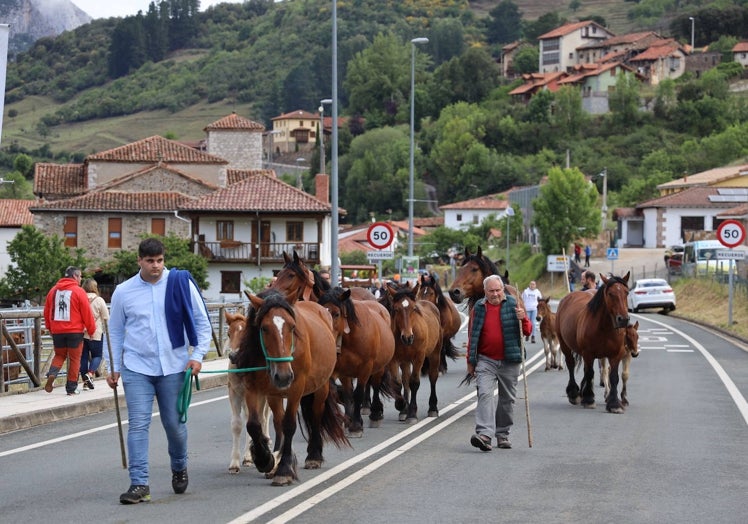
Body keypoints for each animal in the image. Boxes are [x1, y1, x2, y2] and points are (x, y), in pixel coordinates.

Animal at [224, 312, 274, 474]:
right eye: (228, 333)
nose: (233, 355)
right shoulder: (234, 392)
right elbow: (237, 424)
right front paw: (234, 463)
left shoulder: (257, 393)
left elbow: (258, 420)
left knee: (265, 416)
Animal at [235, 290, 350, 488]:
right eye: (264, 328)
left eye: (292, 326)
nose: (283, 376)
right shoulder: (254, 388)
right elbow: (254, 425)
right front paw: (265, 460)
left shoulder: (296, 388)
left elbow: (289, 425)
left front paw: (284, 470)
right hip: (274, 394)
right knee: (277, 421)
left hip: (321, 388)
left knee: (316, 415)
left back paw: (313, 456)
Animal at [318, 284, 398, 436]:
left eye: (336, 314)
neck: (350, 338)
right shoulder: (342, 370)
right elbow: (348, 395)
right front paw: (349, 421)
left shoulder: (365, 368)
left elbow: (358, 393)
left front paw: (356, 426)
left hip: (379, 367)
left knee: (375, 385)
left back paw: (375, 414)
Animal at [386, 282, 444, 422]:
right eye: (396, 309)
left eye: (413, 309)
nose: (407, 337)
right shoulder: (394, 359)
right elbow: (397, 382)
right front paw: (401, 405)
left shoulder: (419, 358)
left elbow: (414, 382)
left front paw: (412, 413)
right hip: (405, 361)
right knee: (405, 379)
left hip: (435, 354)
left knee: (432, 376)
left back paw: (433, 408)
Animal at [556, 274, 632, 414]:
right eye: (610, 294)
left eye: (627, 292)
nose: (623, 319)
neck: (604, 328)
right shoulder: (588, 354)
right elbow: (590, 373)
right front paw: (589, 399)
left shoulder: (616, 355)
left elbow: (613, 377)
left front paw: (614, 404)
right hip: (564, 345)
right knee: (571, 364)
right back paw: (574, 393)